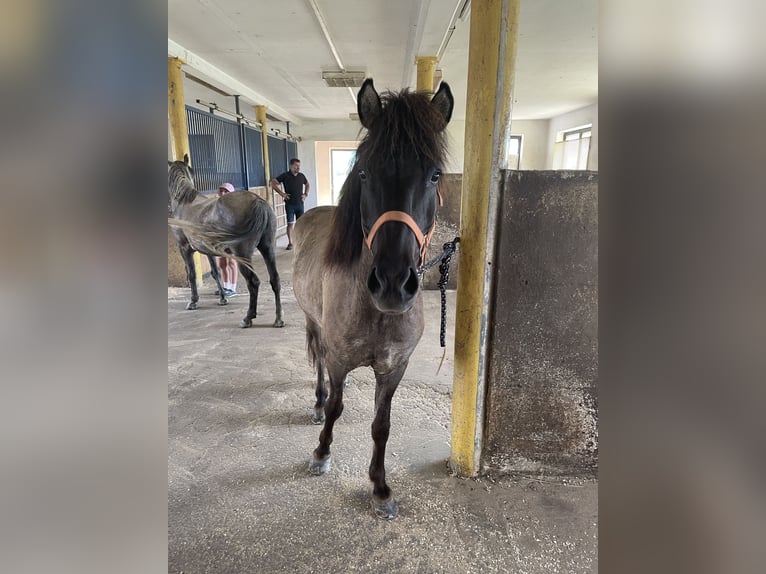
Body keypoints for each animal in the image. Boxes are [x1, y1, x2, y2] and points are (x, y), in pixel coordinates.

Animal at [168, 155, 284, 328]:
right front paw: (223, 298)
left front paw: (193, 302)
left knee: (253, 282)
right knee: (275, 279)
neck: (184, 202)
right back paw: (278, 319)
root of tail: (258, 201)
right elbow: (216, 272)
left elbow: (192, 274)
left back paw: (247, 318)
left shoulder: (185, 248)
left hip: (243, 255)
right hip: (268, 249)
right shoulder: (207, 251)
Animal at [292, 78, 453, 519]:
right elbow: (336, 407)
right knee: (318, 366)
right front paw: (321, 453)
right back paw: (316, 403)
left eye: (435, 175)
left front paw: (380, 488)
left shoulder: (394, 368)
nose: (393, 284)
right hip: (314, 325)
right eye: (363, 171)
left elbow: (382, 425)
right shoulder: (338, 359)